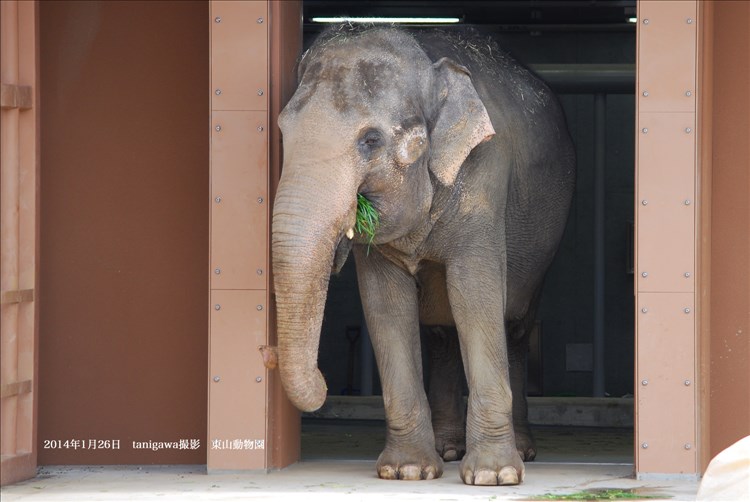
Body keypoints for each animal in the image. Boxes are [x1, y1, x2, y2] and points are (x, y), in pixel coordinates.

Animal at [274, 24, 576, 486]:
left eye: (371, 140)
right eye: (282, 132)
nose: (325, 384)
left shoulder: (485, 177)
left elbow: (475, 295)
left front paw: (494, 476)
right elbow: (386, 306)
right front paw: (407, 471)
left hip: (544, 244)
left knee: (515, 325)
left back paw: (522, 451)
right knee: (441, 334)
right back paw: (448, 449)